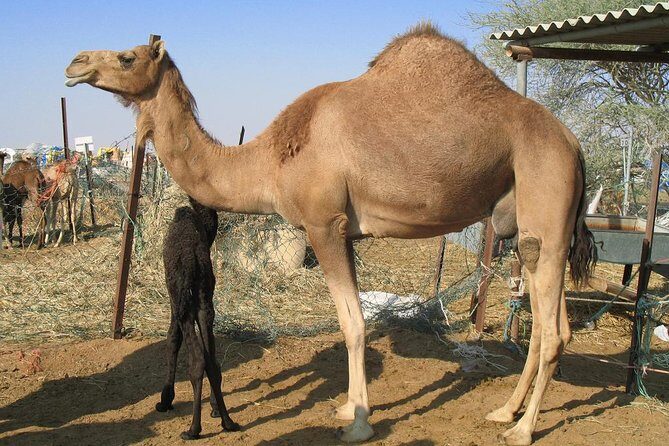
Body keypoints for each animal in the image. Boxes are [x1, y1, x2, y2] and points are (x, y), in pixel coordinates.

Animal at [65, 23, 596, 445]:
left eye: (127, 56)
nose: (74, 62)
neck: (271, 160)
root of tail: (574, 144)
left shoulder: (324, 225)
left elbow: (353, 324)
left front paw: (358, 423)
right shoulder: (345, 233)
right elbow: (353, 321)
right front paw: (348, 406)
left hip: (545, 202)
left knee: (551, 330)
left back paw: (522, 429)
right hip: (534, 224)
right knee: (551, 324)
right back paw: (504, 410)